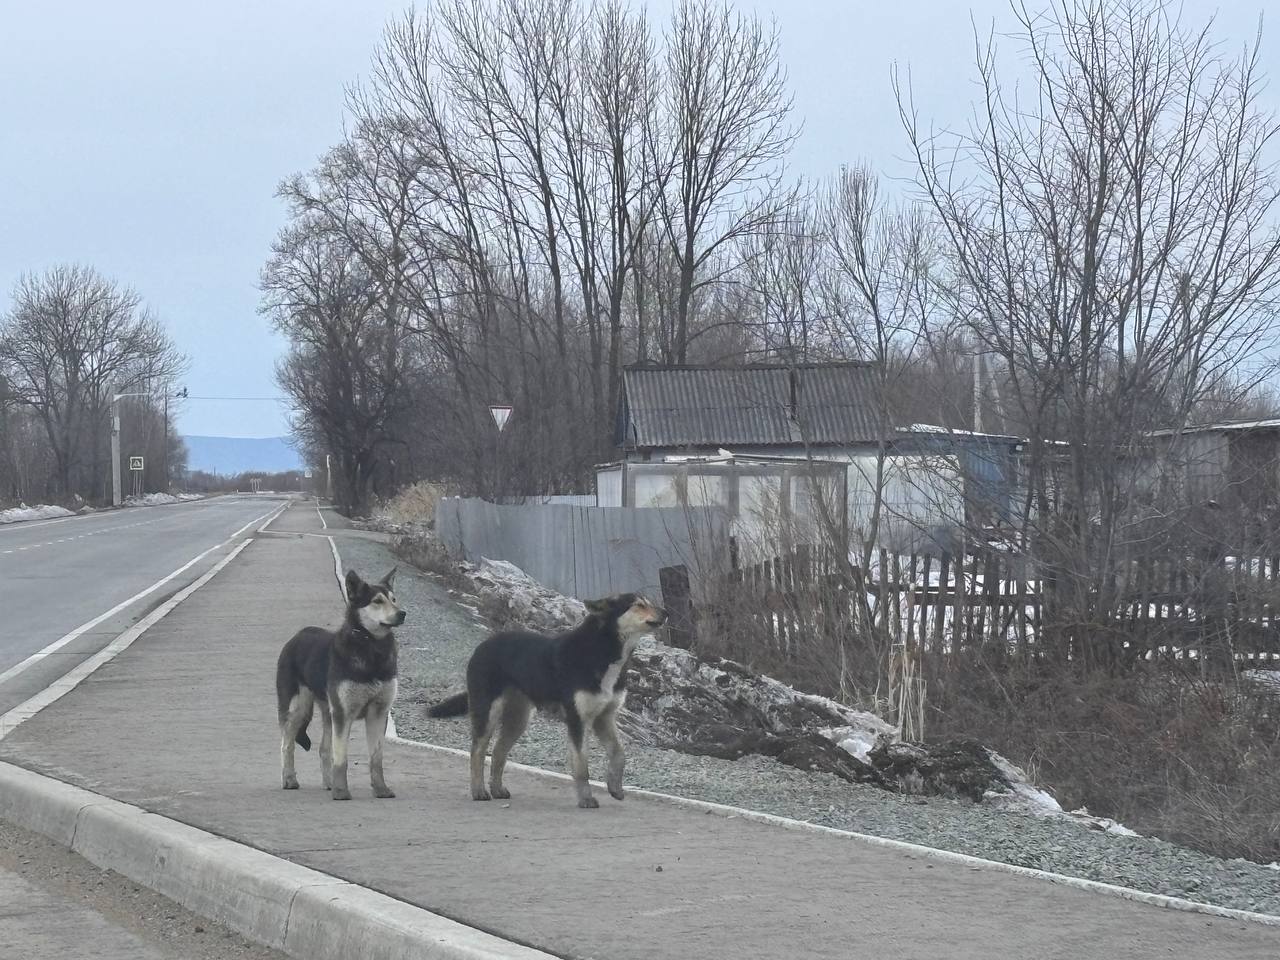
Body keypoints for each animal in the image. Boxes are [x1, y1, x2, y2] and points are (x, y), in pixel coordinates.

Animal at [275, 568, 404, 798]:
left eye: (394, 599)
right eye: (377, 601)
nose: (402, 613)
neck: (370, 647)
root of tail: (296, 637)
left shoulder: (378, 712)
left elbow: (376, 758)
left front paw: (381, 789)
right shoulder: (344, 713)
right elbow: (341, 757)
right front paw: (342, 792)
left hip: (328, 711)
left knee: (323, 749)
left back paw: (328, 783)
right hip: (297, 708)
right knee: (286, 744)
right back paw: (289, 779)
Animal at [430, 599, 670, 808]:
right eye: (639, 604)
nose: (666, 612)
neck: (602, 650)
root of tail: (482, 645)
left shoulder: (604, 717)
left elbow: (619, 754)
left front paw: (615, 788)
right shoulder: (578, 720)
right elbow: (581, 766)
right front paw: (586, 799)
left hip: (519, 718)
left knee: (498, 752)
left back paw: (497, 789)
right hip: (488, 710)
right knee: (477, 751)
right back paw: (479, 791)